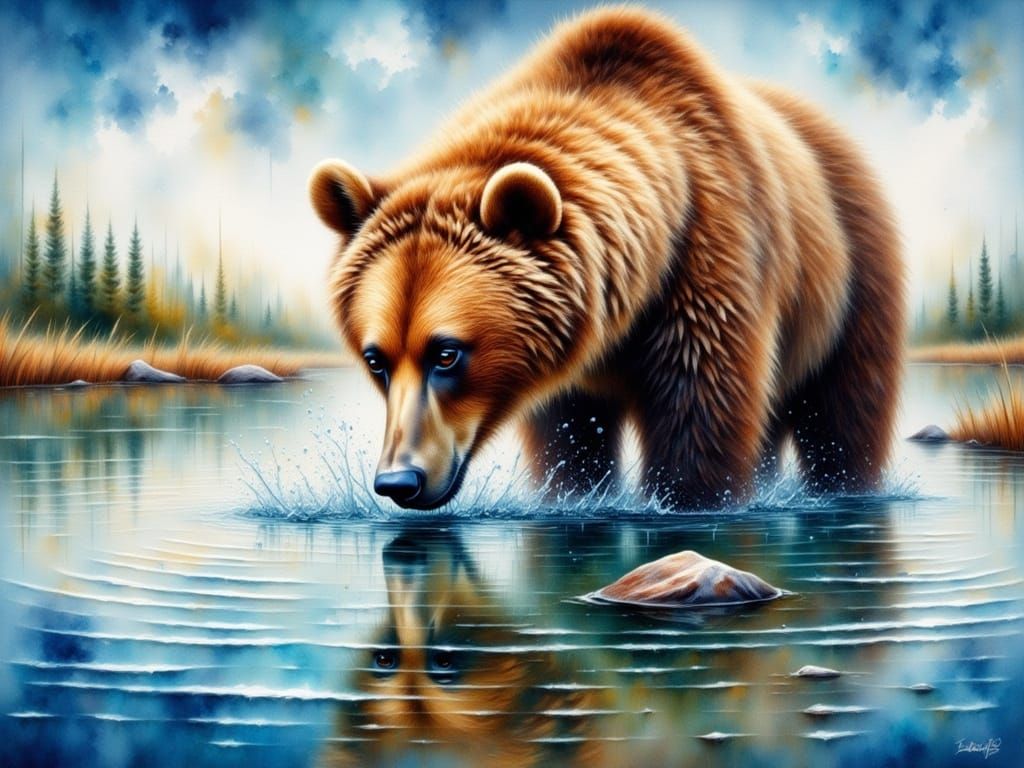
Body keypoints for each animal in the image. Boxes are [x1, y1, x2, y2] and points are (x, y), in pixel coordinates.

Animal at [308, 5, 905, 511]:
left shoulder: (707, 263)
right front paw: (575, 492)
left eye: (447, 353)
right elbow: (570, 441)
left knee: (842, 412)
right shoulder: (559, 356)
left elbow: (701, 411)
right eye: (376, 359)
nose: (398, 480)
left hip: (851, 279)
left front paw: (690, 497)